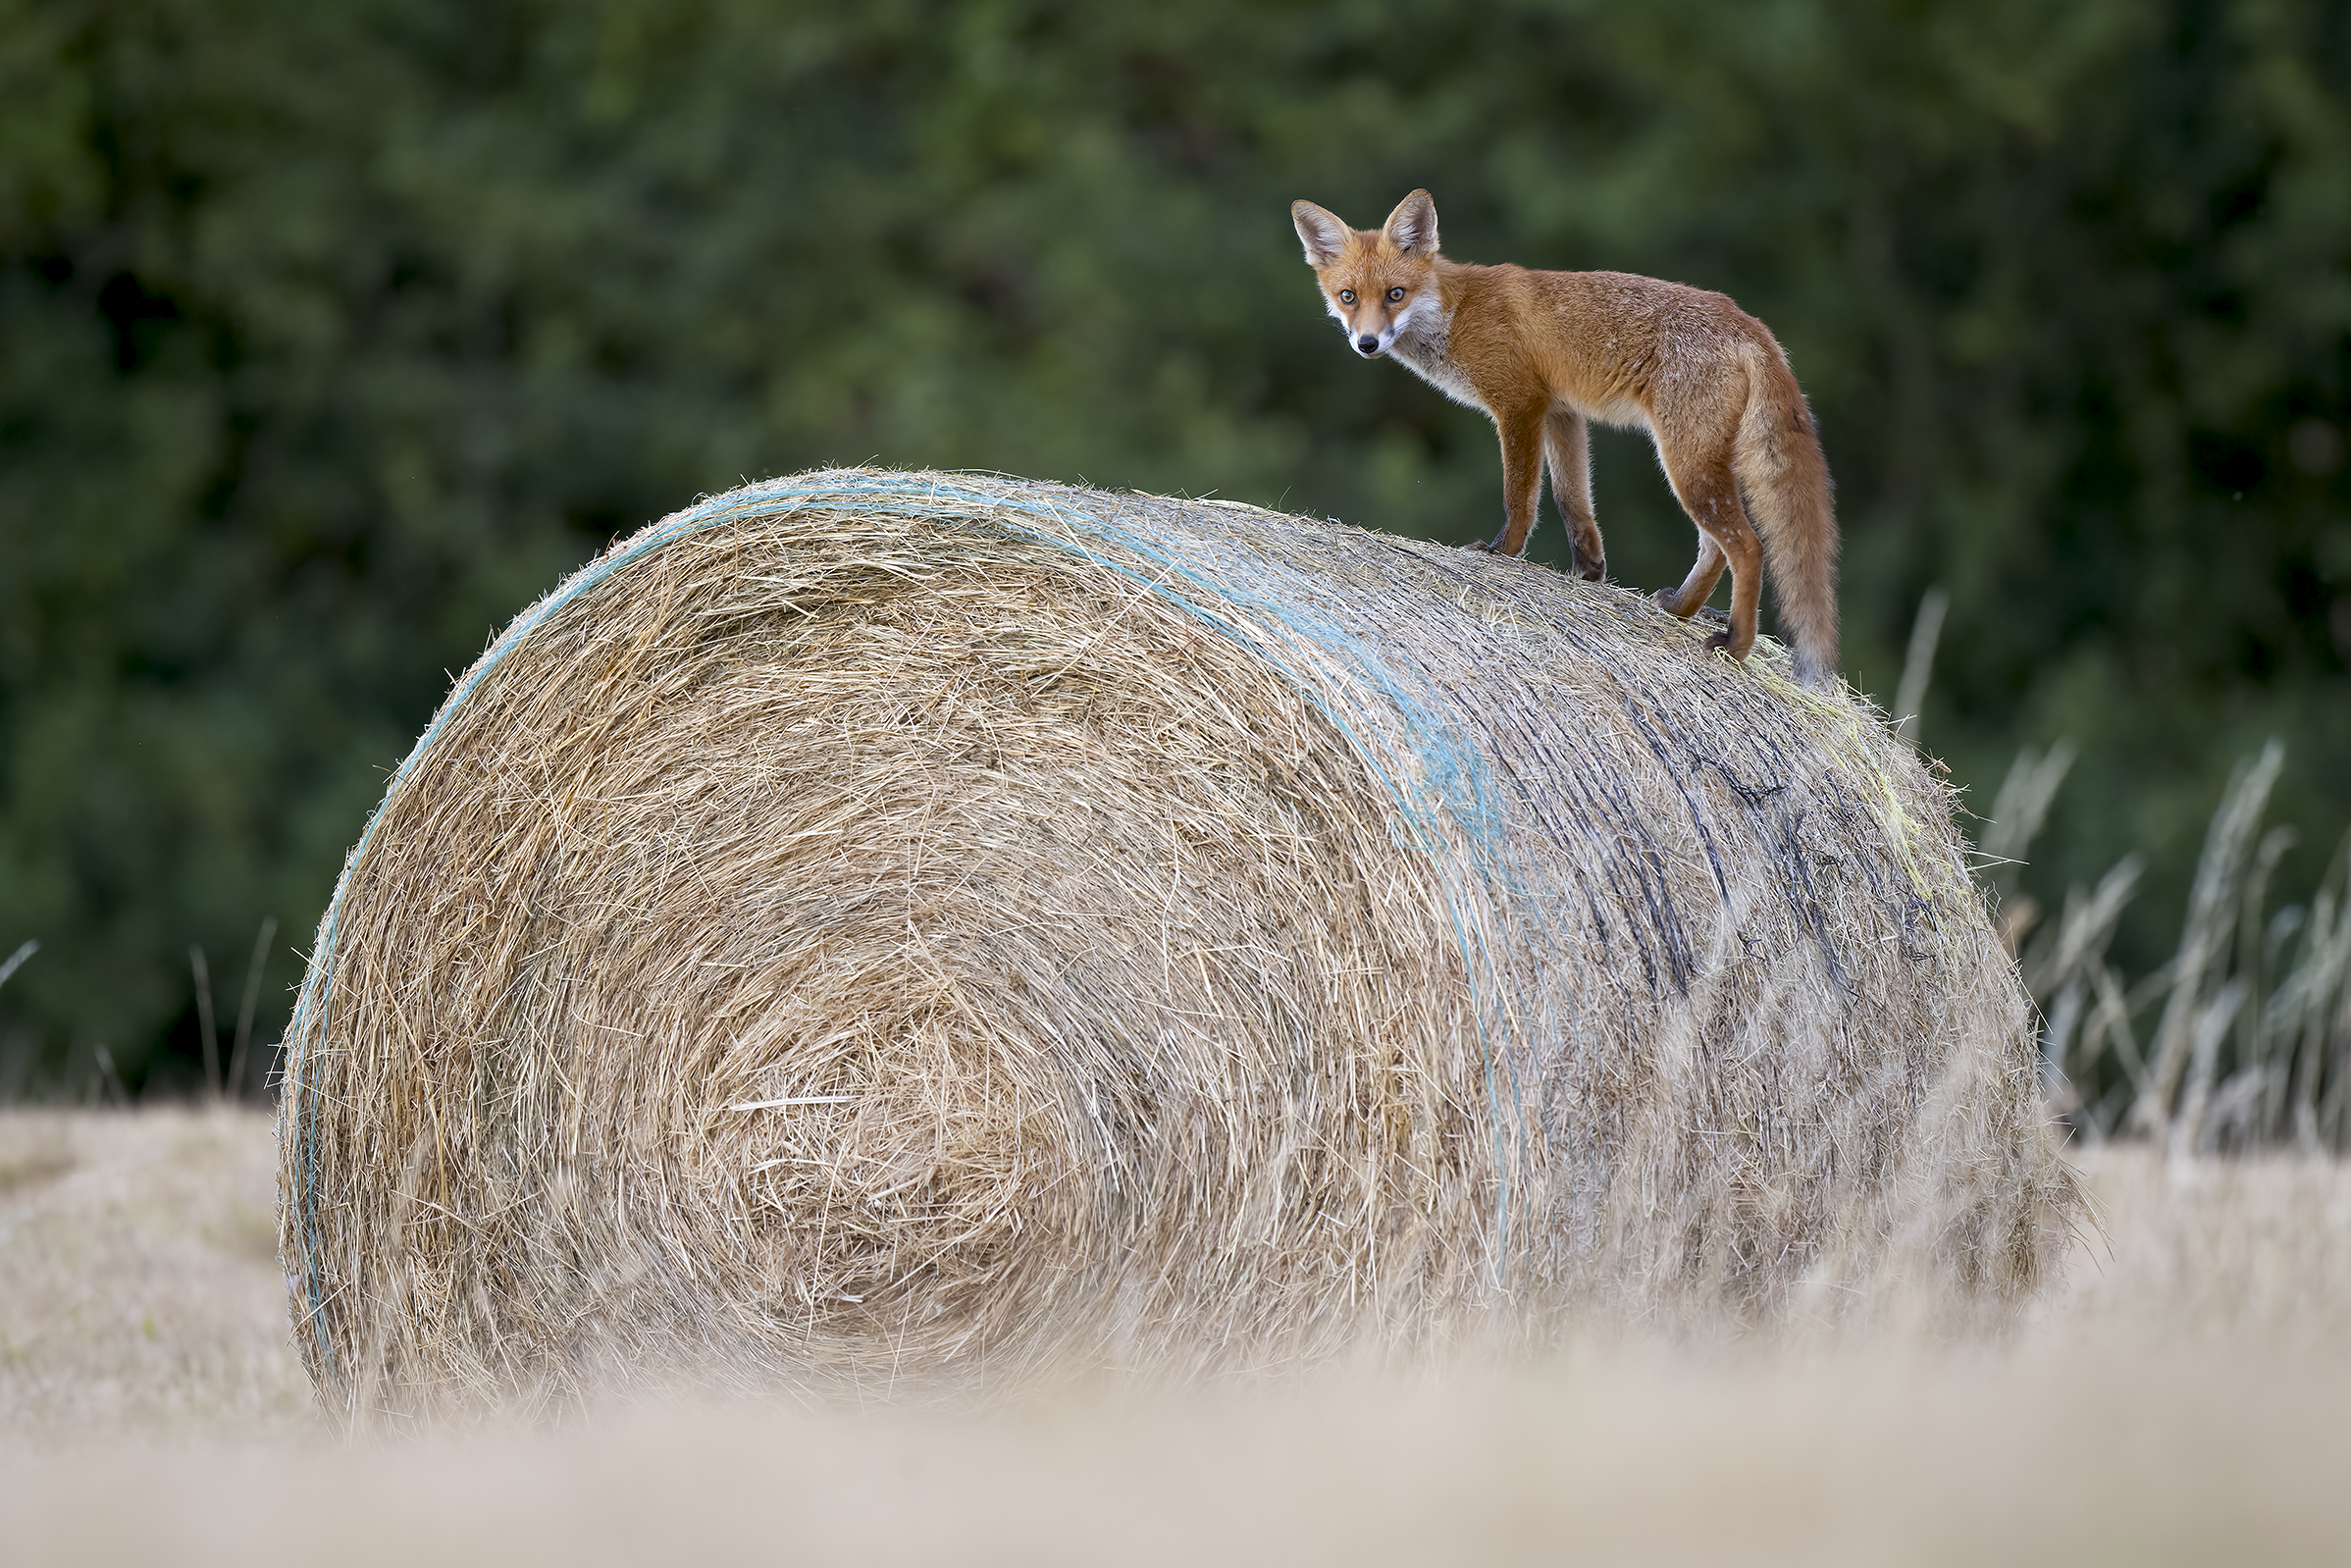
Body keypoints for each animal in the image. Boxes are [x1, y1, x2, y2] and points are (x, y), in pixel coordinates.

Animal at [1291, 189, 1841, 689]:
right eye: (1348, 297)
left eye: (1395, 294)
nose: (1367, 343)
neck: (1456, 311)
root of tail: (1753, 326)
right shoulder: (1562, 414)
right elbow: (1572, 501)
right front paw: (1588, 573)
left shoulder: (1519, 405)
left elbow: (1520, 496)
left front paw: (1502, 553)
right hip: (1697, 463)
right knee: (1714, 547)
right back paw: (1680, 609)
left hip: (1685, 463)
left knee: (1746, 547)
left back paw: (1736, 644)